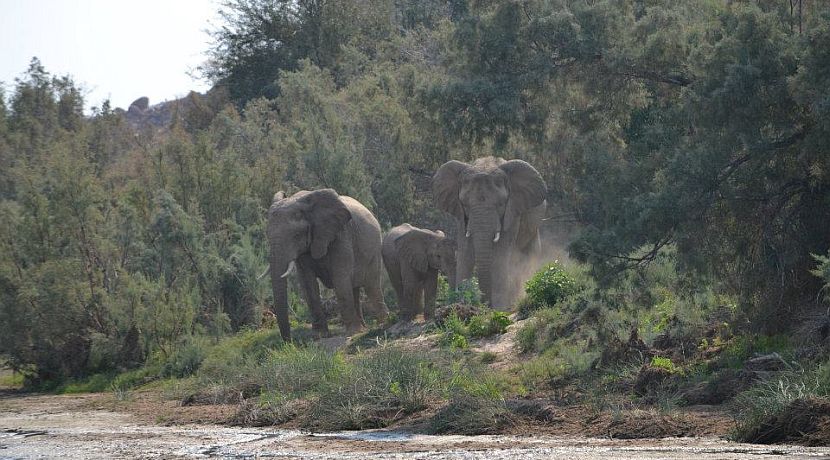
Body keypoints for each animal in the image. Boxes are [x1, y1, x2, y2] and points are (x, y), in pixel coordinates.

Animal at [266, 188, 388, 341]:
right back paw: (363, 328)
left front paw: (352, 333)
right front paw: (319, 336)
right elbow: (308, 284)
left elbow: (340, 279)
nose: (289, 341)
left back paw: (382, 323)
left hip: (374, 251)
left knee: (371, 286)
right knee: (354, 288)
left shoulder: (341, 236)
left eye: (296, 235)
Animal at [433, 157, 547, 309]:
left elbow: (500, 252)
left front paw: (499, 308)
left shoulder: (512, 211)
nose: (484, 304)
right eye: (465, 205)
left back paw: (514, 301)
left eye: (501, 205)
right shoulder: (460, 215)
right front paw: (461, 303)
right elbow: (465, 249)